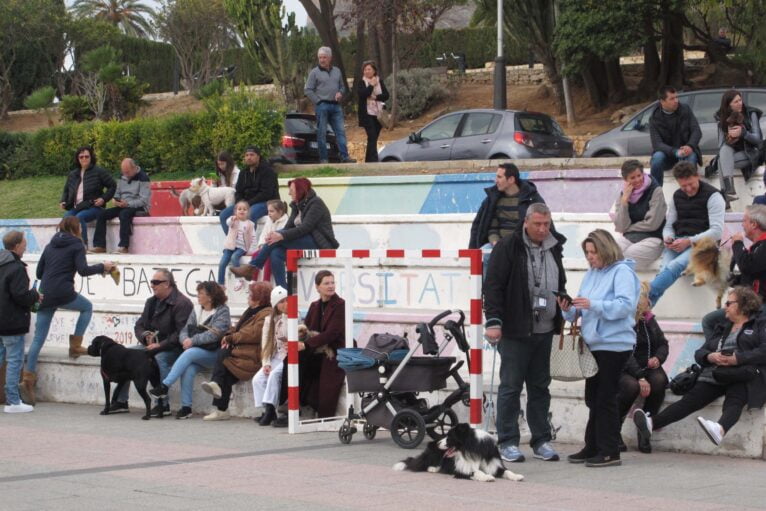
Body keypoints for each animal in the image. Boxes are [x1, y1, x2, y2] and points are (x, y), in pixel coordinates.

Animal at [392, 424, 524, 484]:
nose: (439, 442)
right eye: (447, 435)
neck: (474, 448)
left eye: (450, 437)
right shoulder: (463, 469)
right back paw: (433, 468)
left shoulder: (493, 463)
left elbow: (507, 471)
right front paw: (487, 477)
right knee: (424, 463)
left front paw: (517, 476)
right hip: (434, 453)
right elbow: (476, 472)